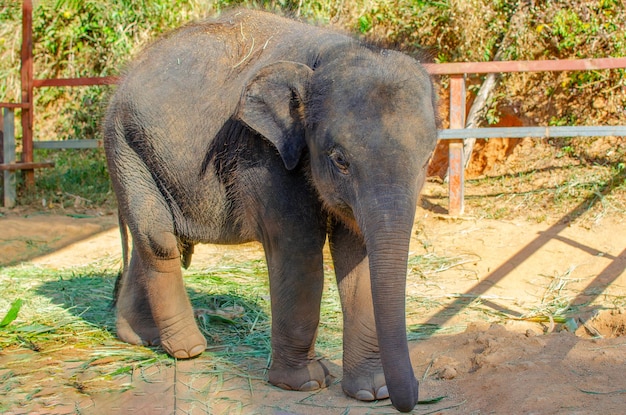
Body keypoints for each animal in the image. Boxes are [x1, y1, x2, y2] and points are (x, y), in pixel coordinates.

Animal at [103, 7, 434, 412]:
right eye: (340, 160)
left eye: (427, 158)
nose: (413, 394)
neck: (327, 55)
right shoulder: (265, 153)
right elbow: (298, 248)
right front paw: (306, 382)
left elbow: (357, 256)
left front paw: (372, 392)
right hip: (124, 147)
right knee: (159, 240)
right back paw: (188, 349)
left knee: (151, 241)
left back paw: (138, 338)